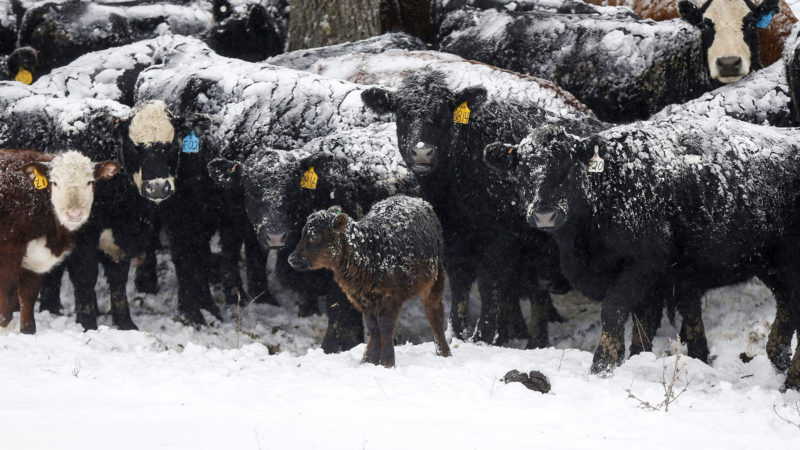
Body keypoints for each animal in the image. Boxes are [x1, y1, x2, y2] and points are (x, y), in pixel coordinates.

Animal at [0, 149, 119, 332]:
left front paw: (28, 331)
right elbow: (7, 292)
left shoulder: (34, 260)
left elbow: (29, 295)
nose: (74, 213)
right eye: (54, 183)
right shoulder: (8, 251)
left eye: (90, 182)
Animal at [288, 198, 454, 370]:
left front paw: (387, 363)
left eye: (314, 236)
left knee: (434, 312)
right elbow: (373, 328)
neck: (368, 254)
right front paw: (370, 361)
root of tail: (416, 200)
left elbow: (386, 327)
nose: (291, 258)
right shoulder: (363, 299)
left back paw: (444, 352)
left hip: (436, 277)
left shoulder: (391, 298)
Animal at [360, 70, 600, 346]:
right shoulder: (455, 242)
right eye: (402, 113)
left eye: (443, 114)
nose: (422, 153)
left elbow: (490, 288)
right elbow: (461, 287)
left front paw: (485, 335)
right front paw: (458, 333)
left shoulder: (499, 243)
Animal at [484, 115, 800, 390]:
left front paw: (602, 367)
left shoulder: (641, 269)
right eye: (522, 169)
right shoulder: (652, 284)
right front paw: (632, 361)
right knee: (787, 306)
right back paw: (779, 361)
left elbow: (613, 312)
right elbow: (642, 325)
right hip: (772, 268)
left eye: (569, 167)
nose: (544, 214)